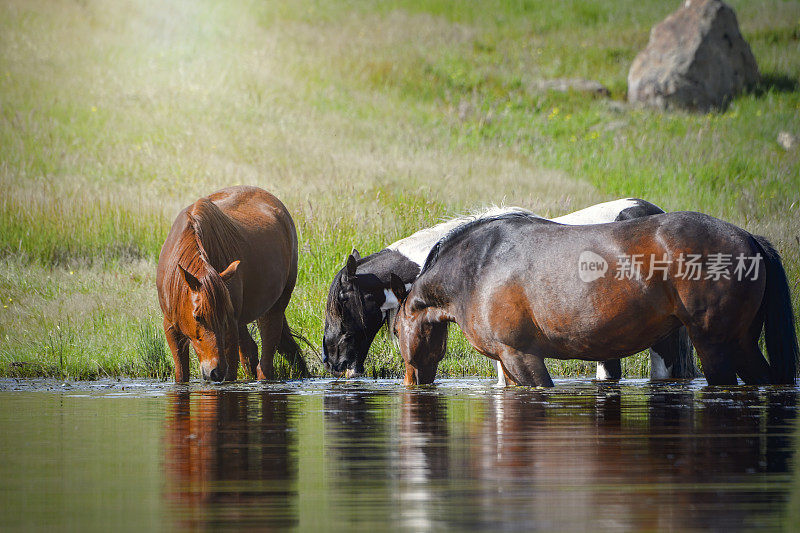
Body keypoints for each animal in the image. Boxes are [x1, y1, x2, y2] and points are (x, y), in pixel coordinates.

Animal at [155, 185, 308, 380]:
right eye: (197, 317)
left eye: (224, 317)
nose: (215, 372)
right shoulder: (171, 328)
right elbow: (181, 375)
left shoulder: (231, 329)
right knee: (252, 353)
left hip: (274, 309)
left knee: (265, 363)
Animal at [390, 211, 796, 386]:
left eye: (395, 332)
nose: (413, 382)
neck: (479, 265)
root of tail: (749, 238)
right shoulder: (510, 362)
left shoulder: (521, 355)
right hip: (742, 343)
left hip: (716, 345)